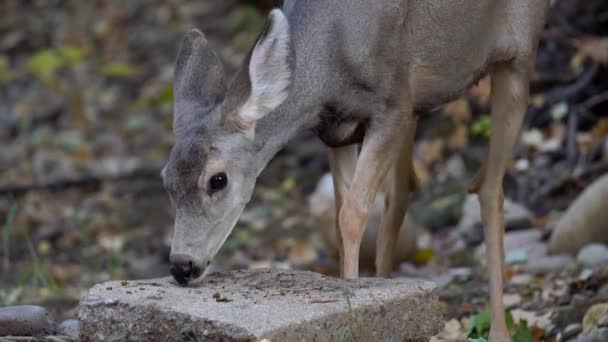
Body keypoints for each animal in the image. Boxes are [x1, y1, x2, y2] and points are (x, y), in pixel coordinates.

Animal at [162, 1, 552, 340]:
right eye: (166, 180)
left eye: (218, 179)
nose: (182, 266)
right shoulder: (338, 131)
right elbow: (341, 213)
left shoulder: (391, 106)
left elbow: (352, 213)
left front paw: (352, 301)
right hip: (416, 111)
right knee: (403, 192)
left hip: (519, 54)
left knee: (489, 187)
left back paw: (499, 332)